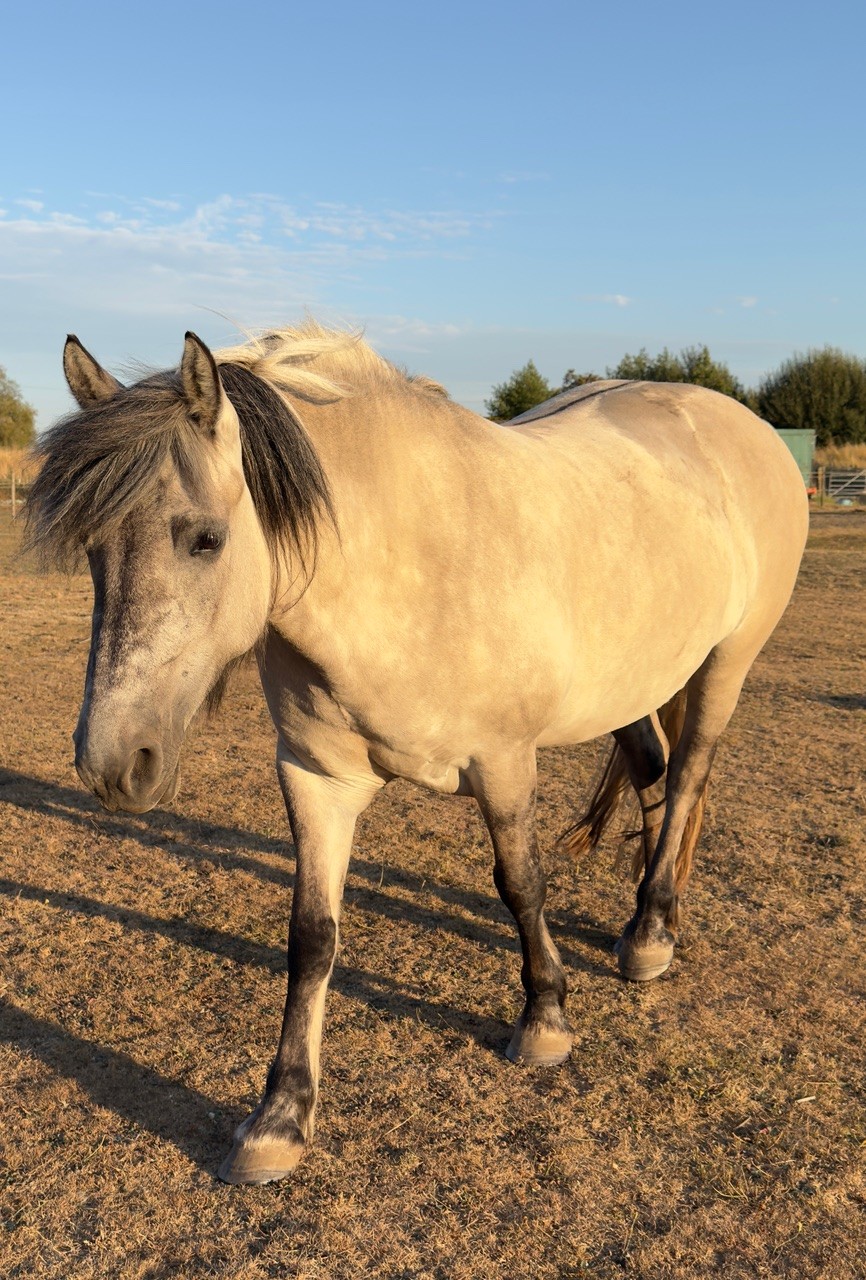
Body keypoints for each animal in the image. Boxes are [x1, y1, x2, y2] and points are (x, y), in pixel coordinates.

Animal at [24, 322, 808, 1185]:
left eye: (206, 539)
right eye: (93, 551)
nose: (111, 763)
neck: (404, 562)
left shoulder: (504, 764)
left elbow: (520, 885)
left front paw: (544, 1018)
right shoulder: (315, 778)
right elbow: (312, 934)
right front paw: (279, 1117)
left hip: (726, 663)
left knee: (691, 773)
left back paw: (650, 938)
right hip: (633, 682)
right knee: (655, 777)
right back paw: (646, 917)